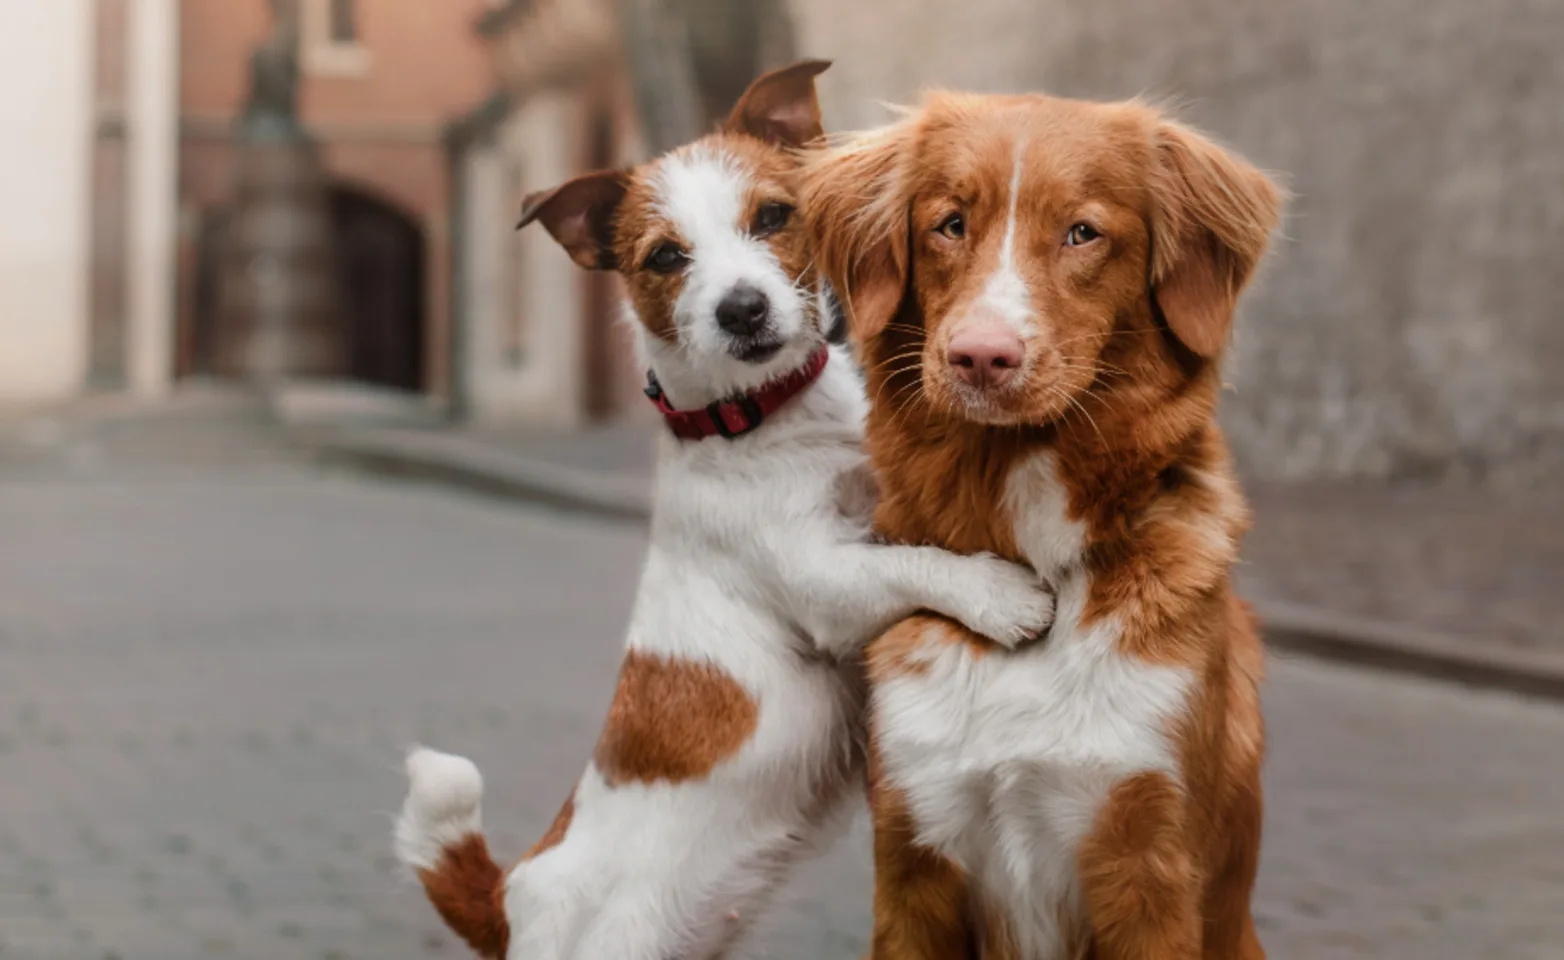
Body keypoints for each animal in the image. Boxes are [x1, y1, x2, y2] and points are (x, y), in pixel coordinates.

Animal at [391, 62, 1057, 960]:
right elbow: (911, 561)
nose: (741, 309)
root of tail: (508, 899)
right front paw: (999, 594)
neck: (765, 418)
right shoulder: (823, 582)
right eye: (666, 257)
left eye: (773, 216)